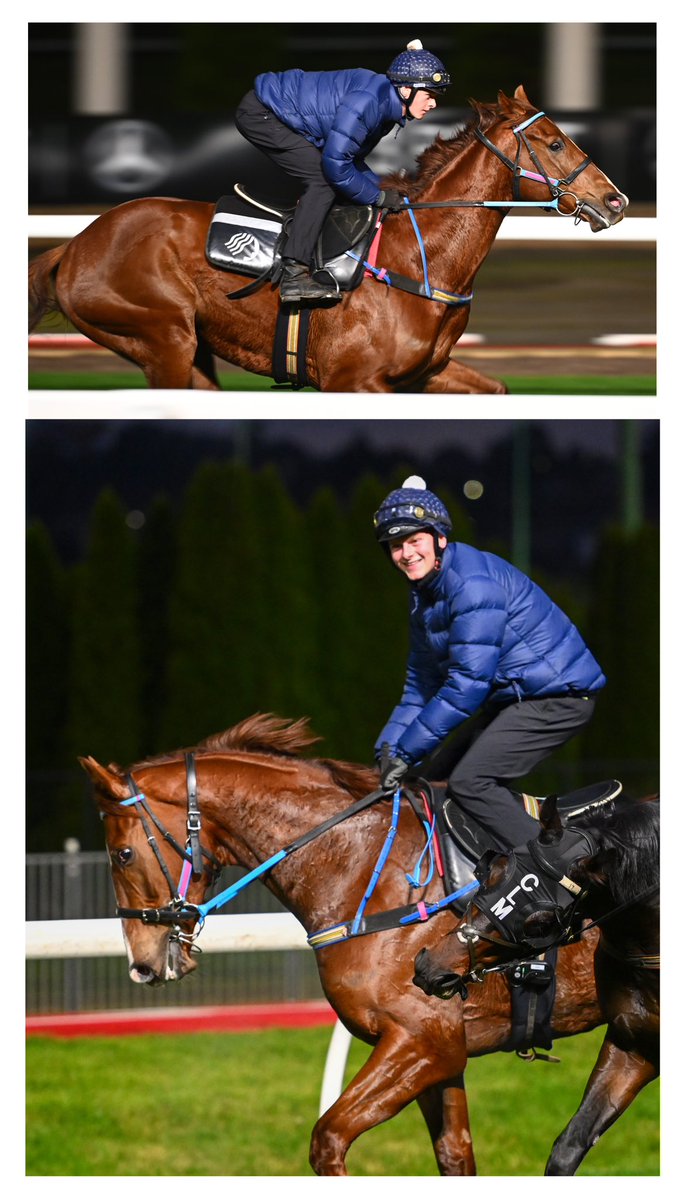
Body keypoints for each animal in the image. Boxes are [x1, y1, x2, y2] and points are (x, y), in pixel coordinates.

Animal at [31, 90, 628, 398]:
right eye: (555, 142)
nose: (616, 199)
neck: (421, 259)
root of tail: (76, 245)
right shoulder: (354, 381)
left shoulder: (425, 373)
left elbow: (498, 389)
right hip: (162, 338)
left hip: (190, 350)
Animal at [79, 715, 607, 1176]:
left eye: (122, 854)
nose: (142, 964)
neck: (363, 868)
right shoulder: (441, 1051)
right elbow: (455, 1155)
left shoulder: (421, 1038)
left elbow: (328, 1138)